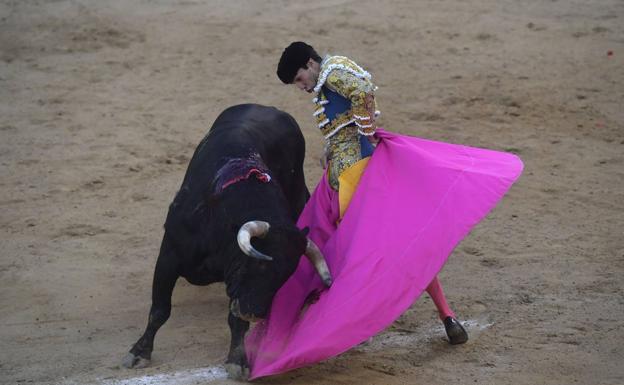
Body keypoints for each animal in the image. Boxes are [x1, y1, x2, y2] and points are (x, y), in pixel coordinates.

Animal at [121, 103, 332, 376]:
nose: (255, 313)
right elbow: (159, 310)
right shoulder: (169, 255)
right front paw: (139, 353)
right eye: (259, 263)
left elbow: (236, 321)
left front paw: (237, 360)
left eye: (287, 274)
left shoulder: (238, 286)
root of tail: (266, 107)